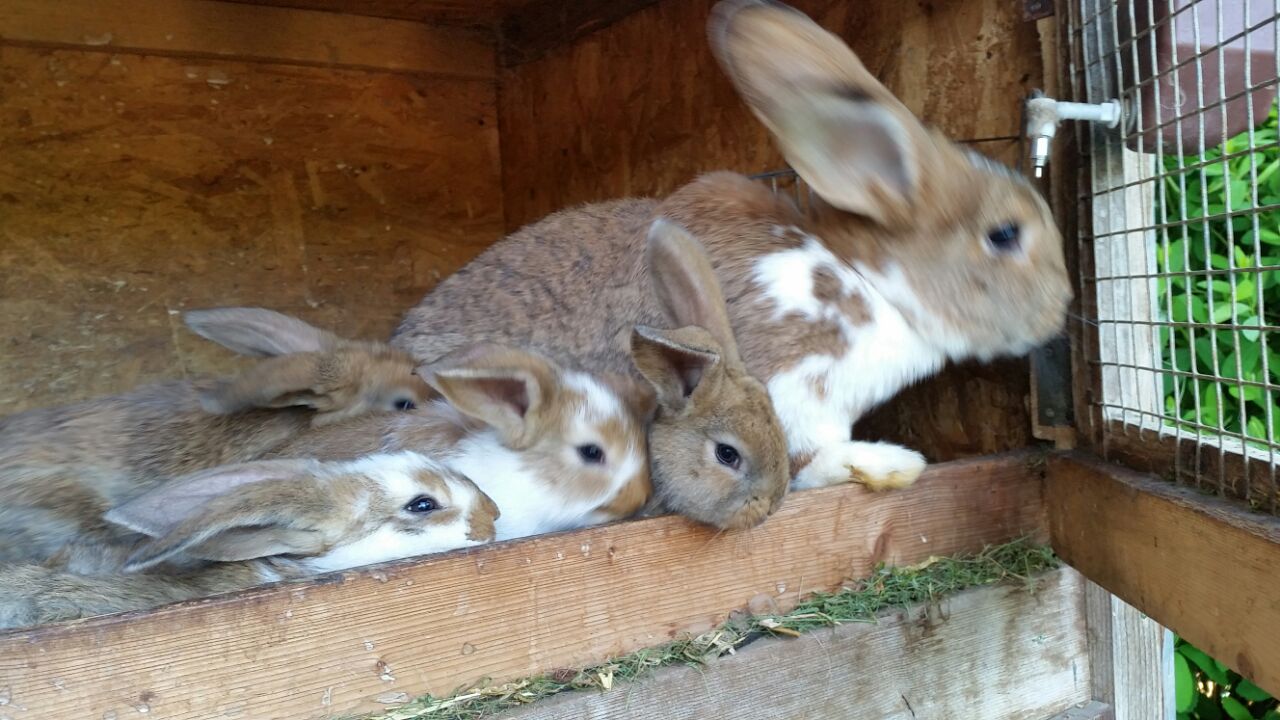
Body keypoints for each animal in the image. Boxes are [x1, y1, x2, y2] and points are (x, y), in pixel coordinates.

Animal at [389, 0, 1070, 504]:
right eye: (1004, 234)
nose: (1060, 310)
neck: (871, 280)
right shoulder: (791, 383)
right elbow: (805, 458)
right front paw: (886, 464)